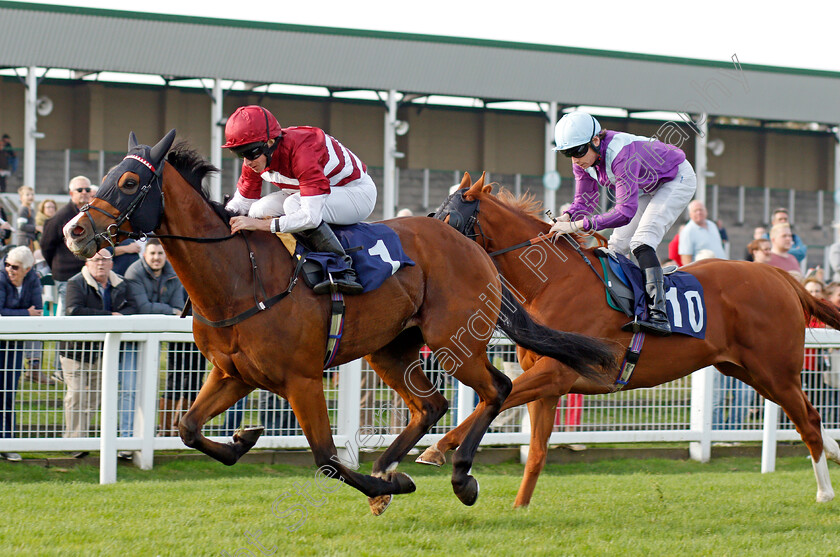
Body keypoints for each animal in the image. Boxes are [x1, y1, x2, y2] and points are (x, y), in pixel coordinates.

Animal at [60, 130, 616, 512]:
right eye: (105, 177)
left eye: (129, 181)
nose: (73, 232)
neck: (240, 275)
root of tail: (474, 247)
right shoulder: (233, 373)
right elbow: (188, 428)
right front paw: (245, 437)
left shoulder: (301, 379)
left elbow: (328, 458)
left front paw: (386, 486)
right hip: (390, 348)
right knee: (432, 404)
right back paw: (392, 467)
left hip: (450, 341)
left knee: (497, 388)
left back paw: (457, 475)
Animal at [420, 172, 840, 506]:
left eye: (449, 218)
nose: (426, 248)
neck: (552, 281)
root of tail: (780, 277)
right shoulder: (551, 384)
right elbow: (536, 451)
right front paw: (518, 508)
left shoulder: (556, 373)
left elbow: (490, 403)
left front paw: (436, 448)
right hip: (746, 371)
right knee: (806, 415)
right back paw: (833, 451)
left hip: (776, 371)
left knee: (808, 419)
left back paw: (824, 491)